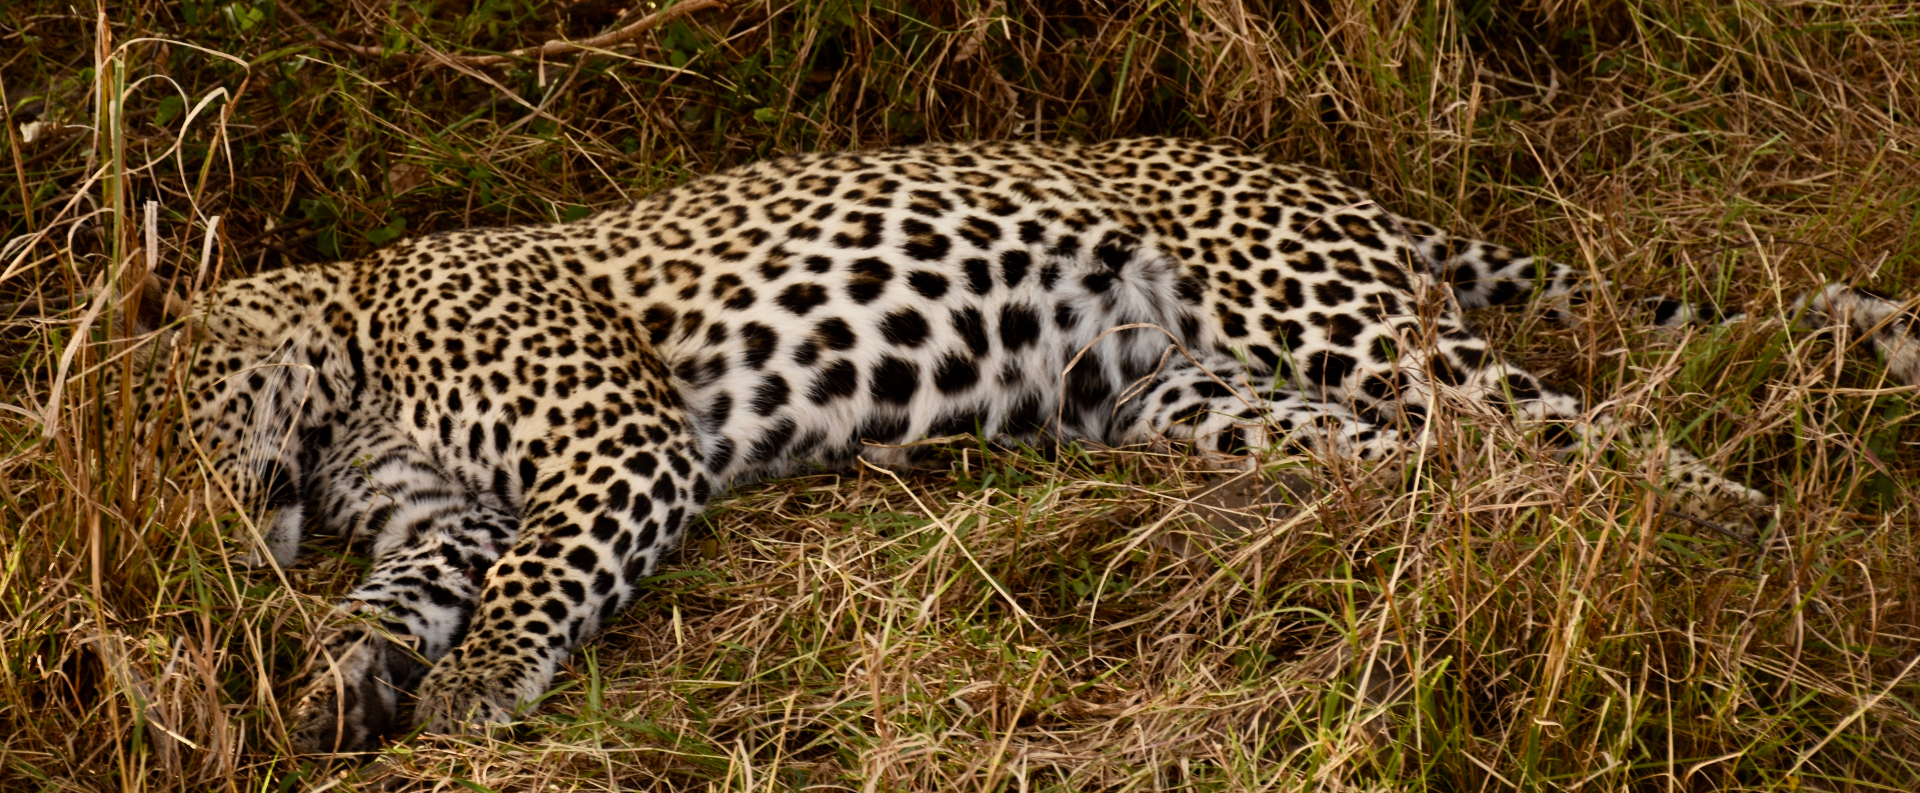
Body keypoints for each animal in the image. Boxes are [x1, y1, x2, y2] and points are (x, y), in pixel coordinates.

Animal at [105, 136, 1920, 753]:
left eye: (173, 415)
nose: (199, 519)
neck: (350, 368)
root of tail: (1337, 184)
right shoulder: (439, 515)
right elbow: (405, 588)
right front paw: (341, 675)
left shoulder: (615, 442)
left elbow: (531, 582)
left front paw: (473, 694)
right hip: (1200, 397)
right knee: (1443, 460)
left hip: (1325, 304)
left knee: (1572, 420)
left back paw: (1729, 525)